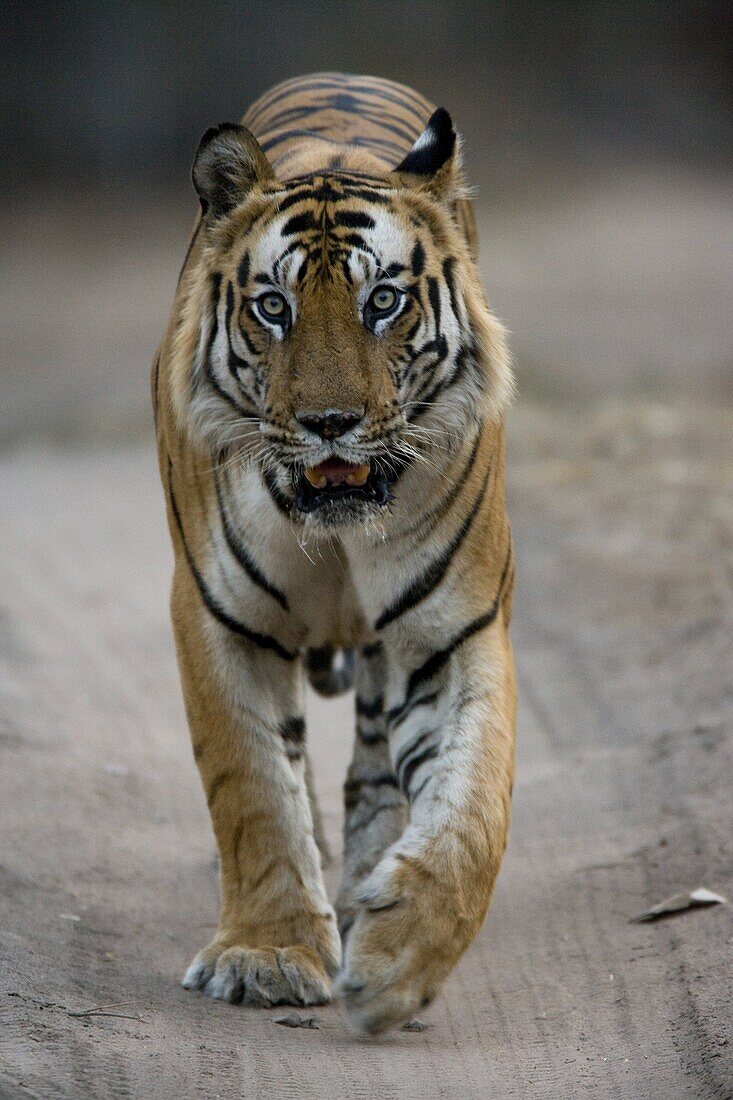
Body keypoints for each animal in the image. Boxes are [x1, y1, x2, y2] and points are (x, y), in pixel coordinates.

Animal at [150, 73, 512, 1034]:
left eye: (381, 300)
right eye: (273, 307)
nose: (328, 424)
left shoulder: (453, 629)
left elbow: (472, 807)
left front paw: (398, 959)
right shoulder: (219, 617)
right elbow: (252, 790)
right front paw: (268, 955)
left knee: (382, 764)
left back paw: (364, 878)